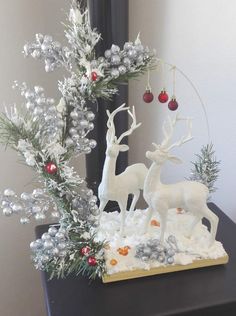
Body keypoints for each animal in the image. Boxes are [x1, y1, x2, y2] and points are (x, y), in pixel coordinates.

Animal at [99, 103, 148, 235]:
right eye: (108, 144)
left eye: (117, 148)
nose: (109, 151)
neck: (111, 185)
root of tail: (142, 165)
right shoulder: (102, 198)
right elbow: (99, 213)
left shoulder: (122, 197)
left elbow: (121, 214)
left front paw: (121, 234)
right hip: (133, 188)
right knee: (136, 194)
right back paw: (130, 217)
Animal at [144, 115, 219, 246]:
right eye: (156, 150)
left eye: (162, 155)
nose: (148, 152)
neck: (154, 188)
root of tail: (206, 189)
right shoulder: (151, 205)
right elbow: (146, 220)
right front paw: (142, 234)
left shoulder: (163, 207)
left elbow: (163, 226)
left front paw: (160, 243)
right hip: (192, 205)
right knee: (199, 216)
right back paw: (187, 235)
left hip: (196, 203)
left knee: (214, 217)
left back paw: (209, 244)